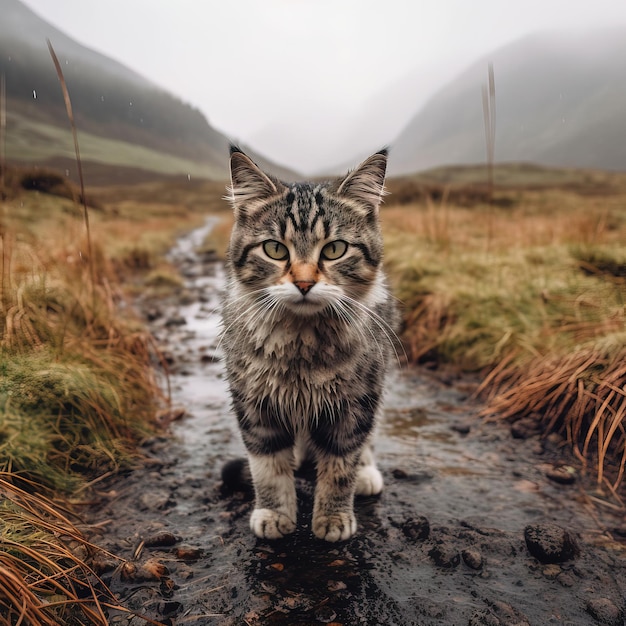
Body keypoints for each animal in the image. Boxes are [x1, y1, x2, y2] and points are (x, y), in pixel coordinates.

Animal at [219, 146, 398, 540]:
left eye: (334, 250)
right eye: (275, 249)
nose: (303, 283)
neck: (302, 344)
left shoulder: (354, 405)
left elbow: (340, 467)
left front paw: (333, 517)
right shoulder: (256, 403)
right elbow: (268, 467)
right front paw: (274, 512)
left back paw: (366, 472)